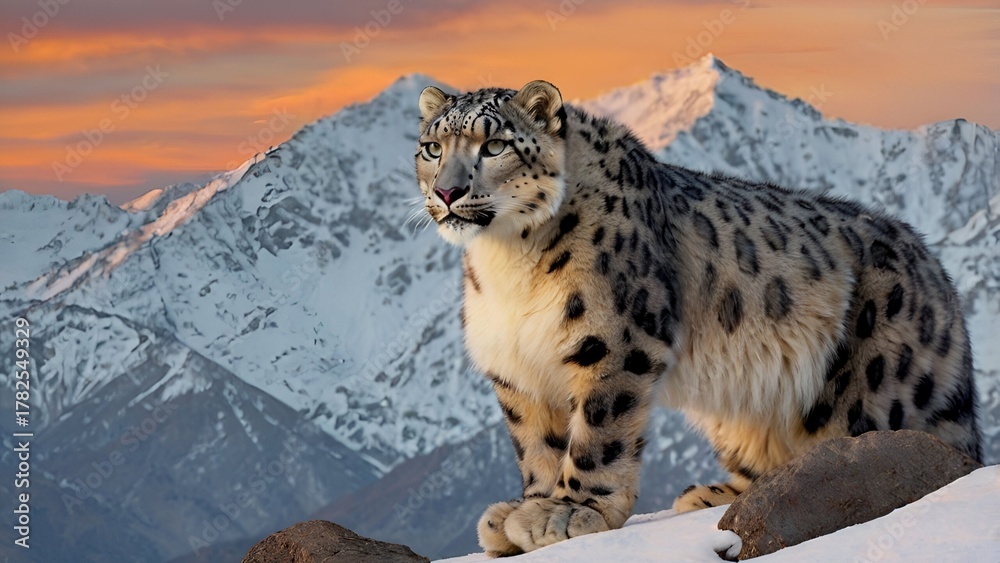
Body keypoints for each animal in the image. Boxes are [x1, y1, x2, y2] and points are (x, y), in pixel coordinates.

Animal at [413, 80, 983, 556]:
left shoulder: (615, 340)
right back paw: (714, 493)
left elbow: (598, 431)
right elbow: (536, 444)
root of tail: (937, 272)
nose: (447, 192)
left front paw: (571, 511)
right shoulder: (516, 367)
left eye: (494, 146)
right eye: (432, 148)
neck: (509, 261)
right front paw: (524, 509)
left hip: (869, 390)